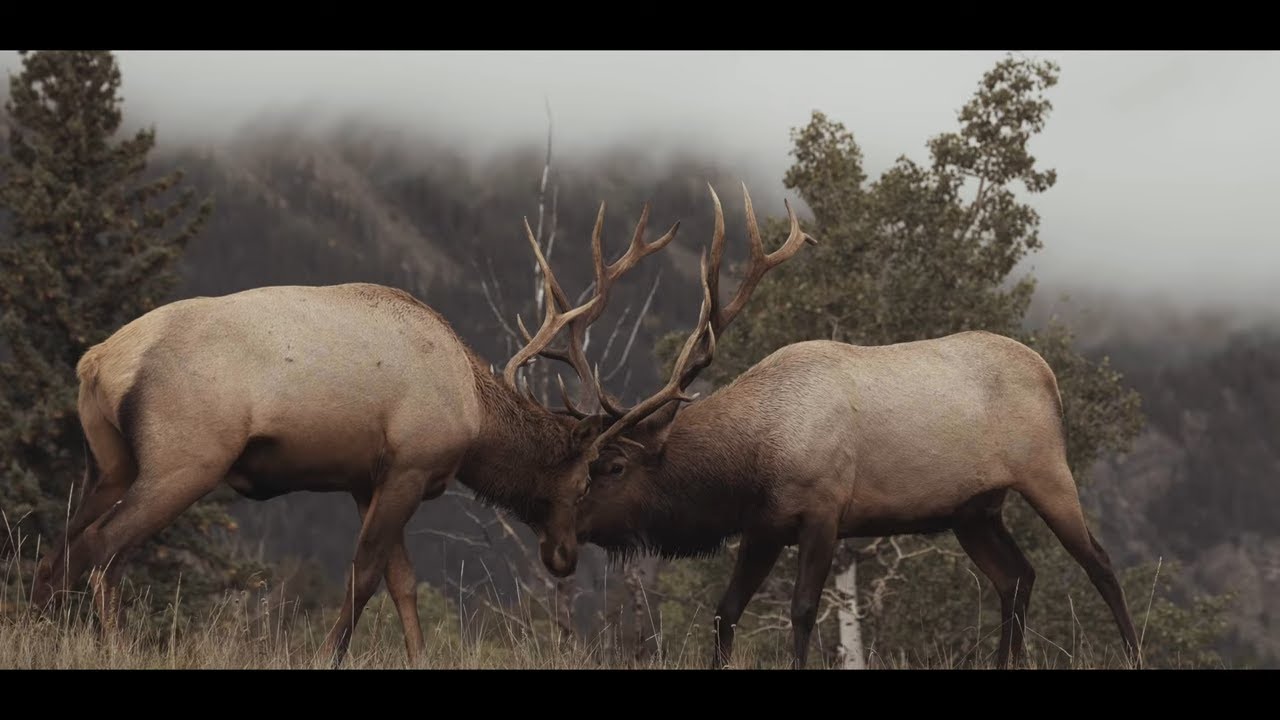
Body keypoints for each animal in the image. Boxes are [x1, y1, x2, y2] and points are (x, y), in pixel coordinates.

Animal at [27, 198, 691, 666]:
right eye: (584, 481)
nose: (564, 557)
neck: (473, 414)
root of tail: (97, 362)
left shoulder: (365, 479)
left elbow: (403, 581)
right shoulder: (410, 465)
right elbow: (366, 573)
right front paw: (327, 654)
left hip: (110, 463)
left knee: (57, 551)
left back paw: (37, 631)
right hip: (184, 459)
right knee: (102, 549)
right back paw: (112, 647)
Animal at [570, 184, 1141, 666]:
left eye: (614, 466)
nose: (569, 528)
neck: (754, 459)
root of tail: (1050, 376)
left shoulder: (823, 510)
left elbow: (802, 611)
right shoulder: (763, 524)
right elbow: (725, 610)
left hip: (1046, 471)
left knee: (1099, 561)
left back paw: (1133, 652)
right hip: (974, 510)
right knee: (1018, 576)